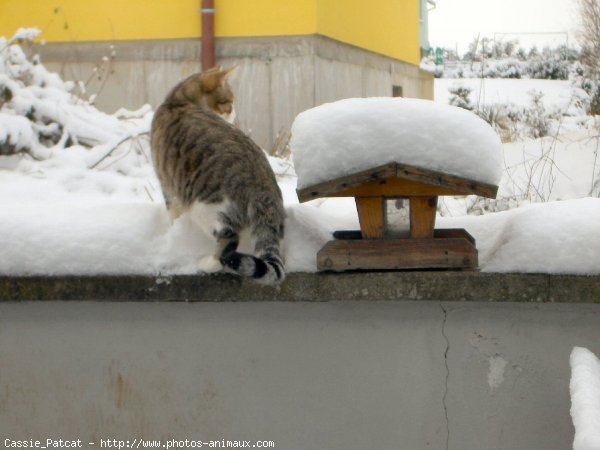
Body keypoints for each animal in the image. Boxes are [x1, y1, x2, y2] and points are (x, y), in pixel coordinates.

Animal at [154, 66, 288, 284]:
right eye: (229, 103)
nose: (235, 115)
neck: (178, 101)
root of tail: (263, 187)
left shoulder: (168, 188)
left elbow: (173, 214)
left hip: (207, 208)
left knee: (229, 241)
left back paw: (209, 263)